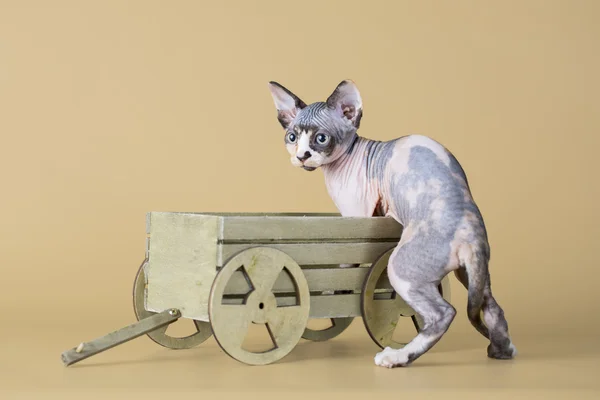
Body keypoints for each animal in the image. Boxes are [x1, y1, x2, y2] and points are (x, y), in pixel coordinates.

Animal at [268, 79, 516, 368]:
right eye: (292, 137)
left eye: (321, 138)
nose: (302, 156)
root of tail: (470, 234)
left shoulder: (355, 217)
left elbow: (345, 264)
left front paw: (332, 294)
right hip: (473, 273)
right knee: (492, 307)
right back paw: (502, 350)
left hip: (400, 268)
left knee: (443, 313)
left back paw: (396, 357)